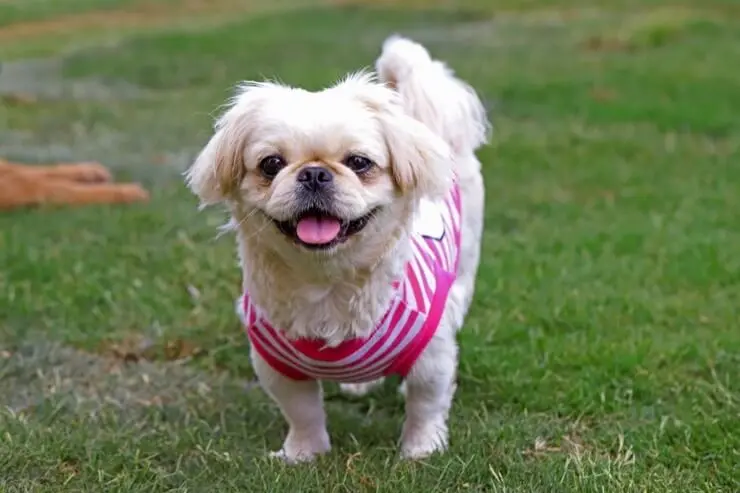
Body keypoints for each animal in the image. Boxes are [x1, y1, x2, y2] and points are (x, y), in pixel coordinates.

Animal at [185, 35, 492, 462]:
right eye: (271, 164)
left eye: (359, 162)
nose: (314, 173)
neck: (326, 283)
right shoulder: (276, 366)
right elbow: (303, 412)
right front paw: (303, 453)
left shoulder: (433, 357)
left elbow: (425, 404)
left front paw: (422, 450)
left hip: (465, 263)